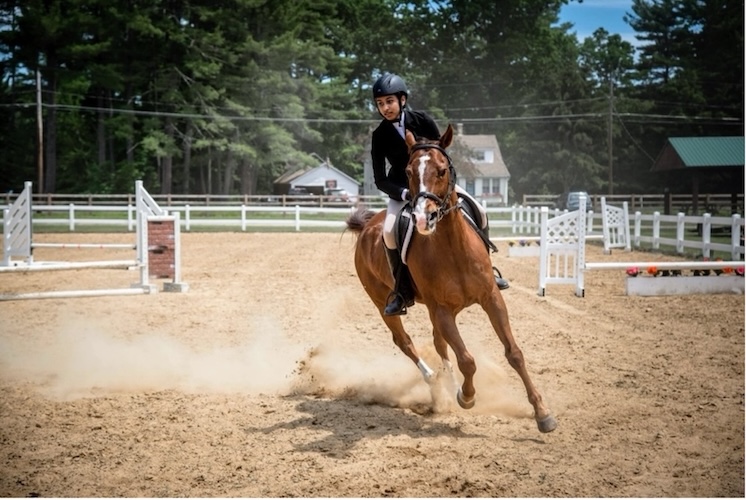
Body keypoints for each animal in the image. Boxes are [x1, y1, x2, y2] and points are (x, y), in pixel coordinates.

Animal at [346, 123, 556, 432]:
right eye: (408, 171)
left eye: (442, 170)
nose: (425, 219)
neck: (453, 248)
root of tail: (366, 227)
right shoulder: (442, 310)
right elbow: (467, 360)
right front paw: (466, 396)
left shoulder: (491, 298)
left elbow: (514, 353)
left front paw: (542, 413)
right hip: (385, 302)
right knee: (405, 341)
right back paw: (435, 381)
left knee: (439, 343)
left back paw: (447, 384)